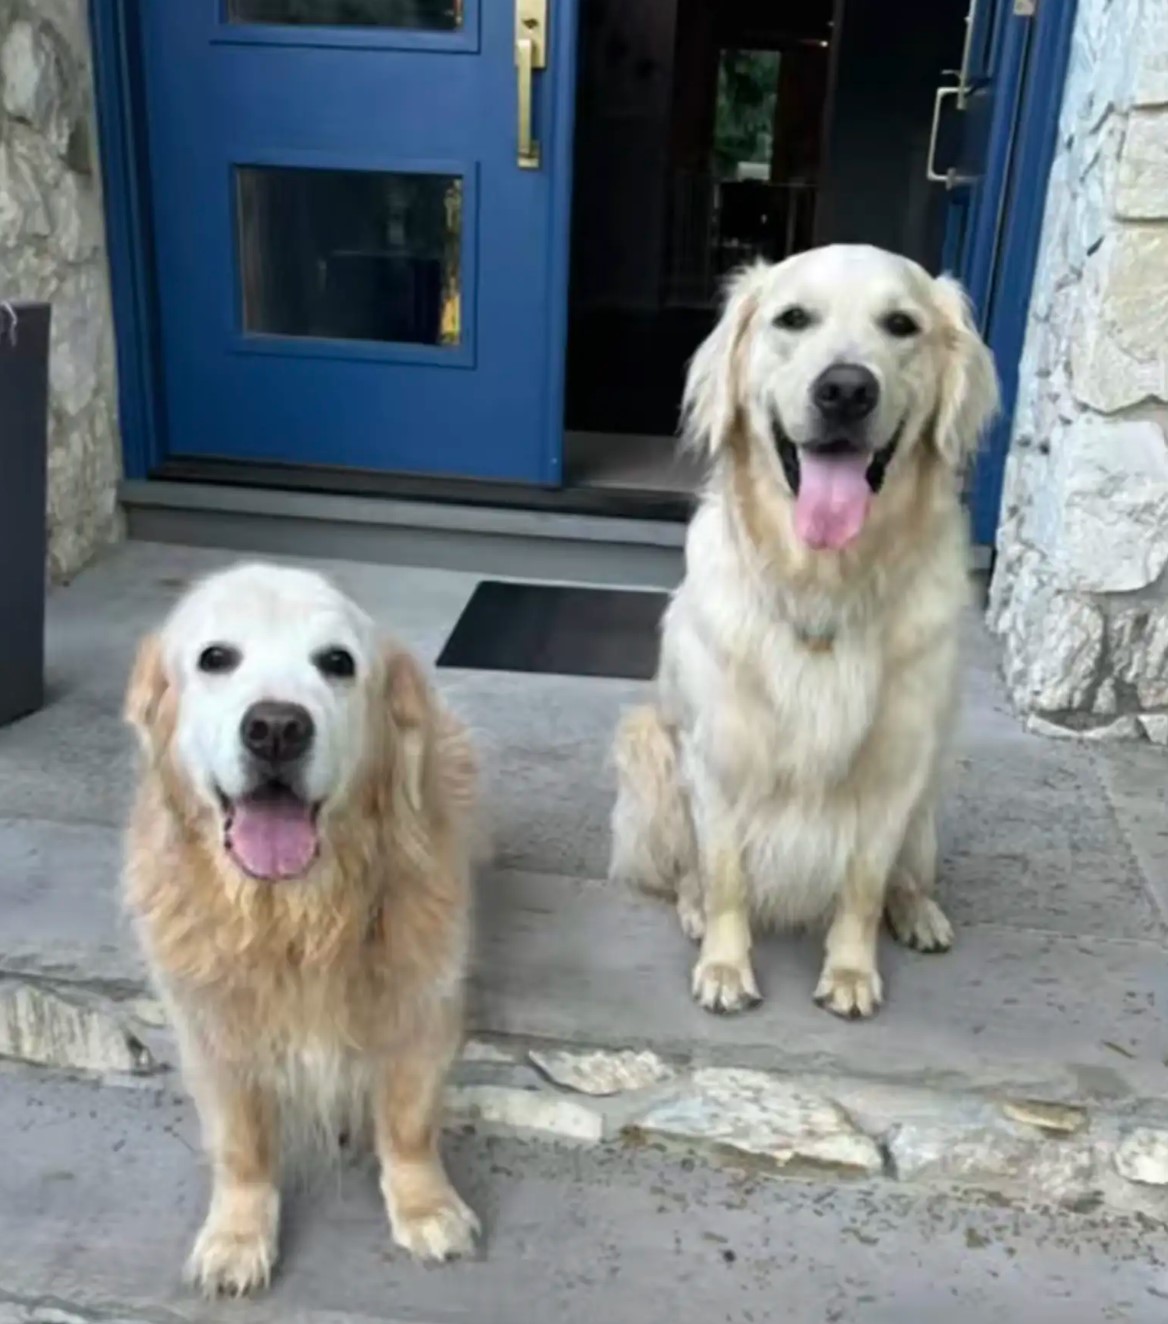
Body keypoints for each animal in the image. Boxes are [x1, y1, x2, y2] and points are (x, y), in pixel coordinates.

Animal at [606, 243, 995, 1016]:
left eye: (901, 324)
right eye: (793, 319)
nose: (845, 389)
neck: (825, 583)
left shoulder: (897, 765)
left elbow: (865, 885)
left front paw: (849, 972)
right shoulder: (718, 754)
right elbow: (725, 873)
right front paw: (726, 966)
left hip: (928, 801)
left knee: (906, 875)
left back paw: (920, 912)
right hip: (649, 752)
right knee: (687, 870)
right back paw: (693, 908)